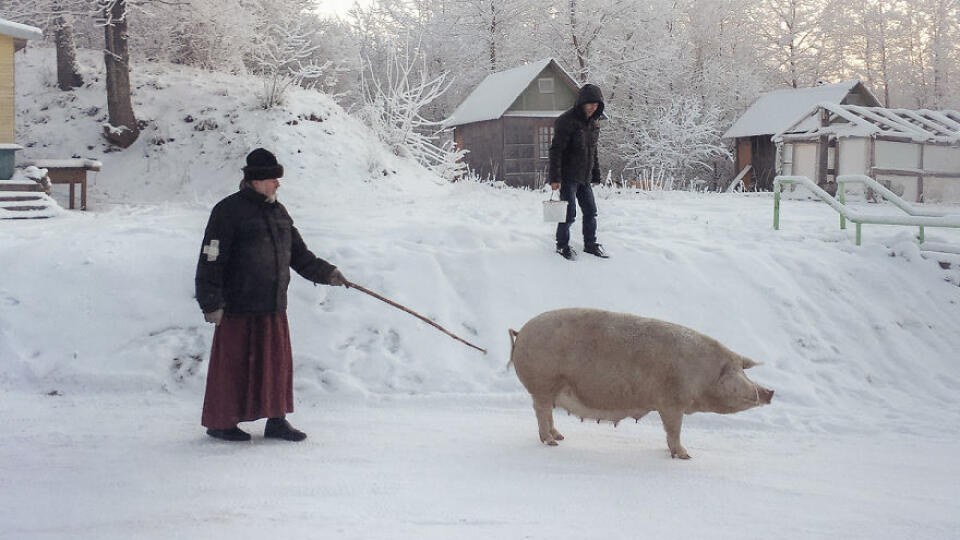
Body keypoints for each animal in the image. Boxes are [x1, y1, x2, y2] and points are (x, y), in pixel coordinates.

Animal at [510, 308, 772, 460]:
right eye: (737, 371)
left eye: (743, 368)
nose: (770, 392)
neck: (702, 374)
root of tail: (521, 331)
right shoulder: (671, 402)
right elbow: (674, 430)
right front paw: (685, 456)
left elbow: (671, 432)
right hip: (543, 383)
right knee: (541, 412)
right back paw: (552, 442)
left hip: (547, 388)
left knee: (547, 414)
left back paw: (561, 436)